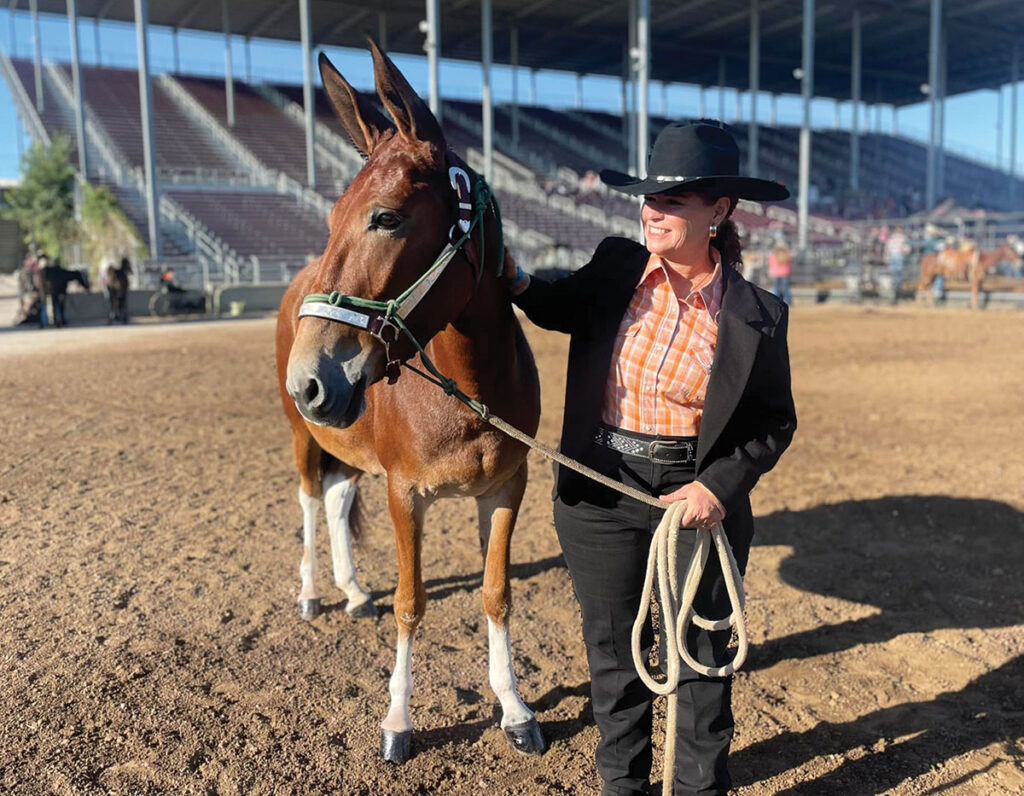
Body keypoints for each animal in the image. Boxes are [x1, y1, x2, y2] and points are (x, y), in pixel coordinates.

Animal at [272, 42, 544, 762]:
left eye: (387, 216)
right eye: (330, 219)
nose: (309, 382)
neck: (468, 392)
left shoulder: (506, 488)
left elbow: (497, 594)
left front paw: (513, 707)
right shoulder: (404, 493)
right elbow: (412, 602)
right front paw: (397, 720)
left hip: (345, 441)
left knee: (337, 500)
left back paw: (352, 590)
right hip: (304, 438)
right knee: (309, 502)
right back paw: (313, 594)